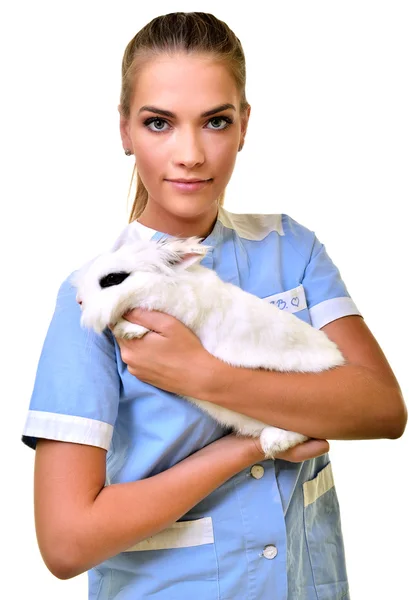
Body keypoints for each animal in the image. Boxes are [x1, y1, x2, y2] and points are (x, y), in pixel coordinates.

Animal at [71, 236, 344, 460]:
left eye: (113, 279)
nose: (79, 301)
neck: (164, 284)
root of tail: (337, 361)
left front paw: (127, 329)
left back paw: (273, 443)